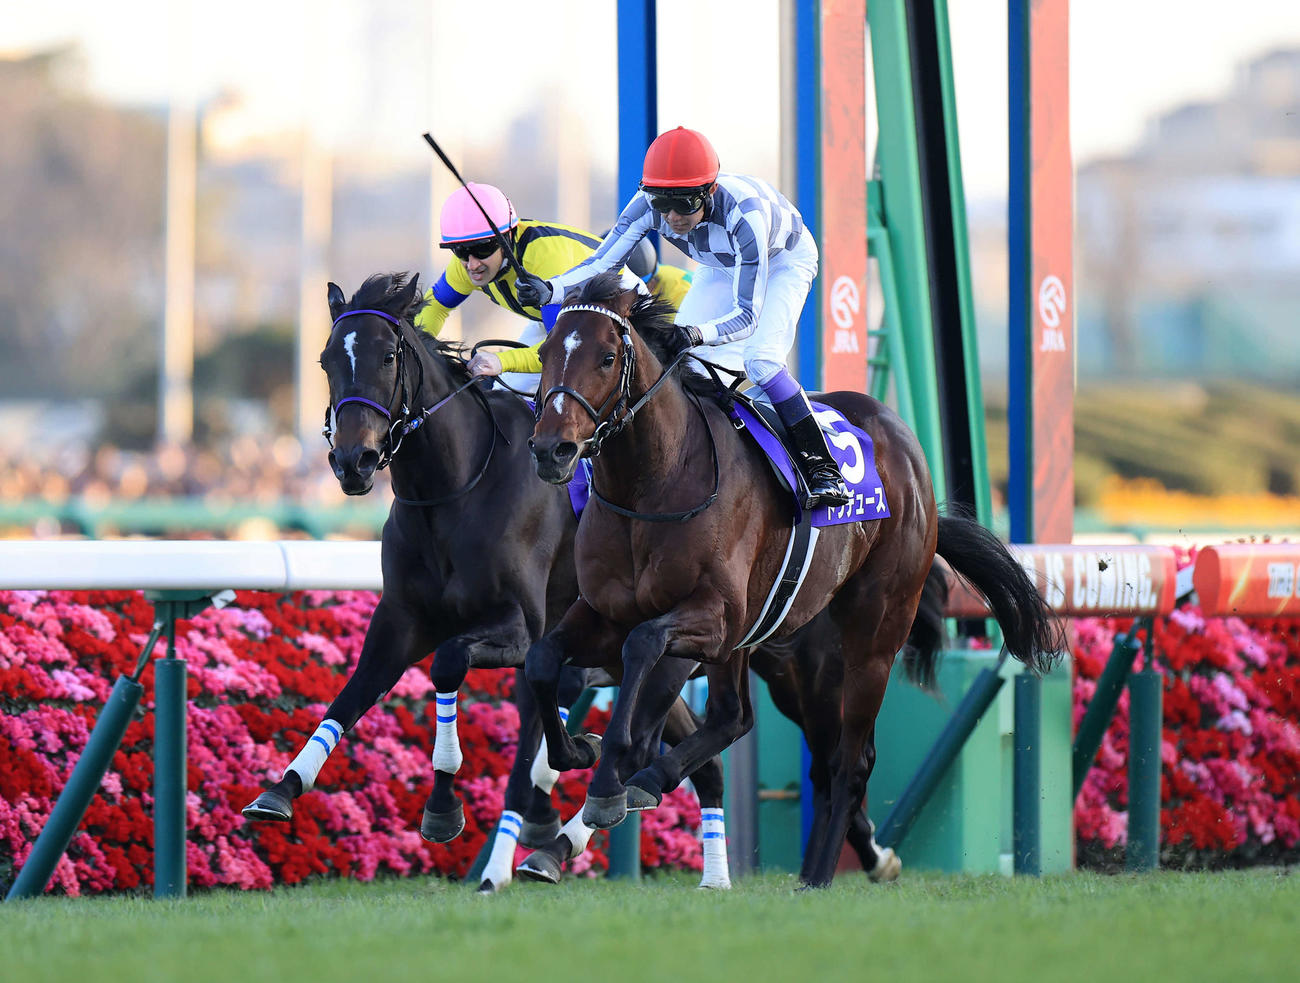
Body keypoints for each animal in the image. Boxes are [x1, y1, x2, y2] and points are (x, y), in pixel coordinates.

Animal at [523, 272, 1065, 888]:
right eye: (544, 352)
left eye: (609, 357)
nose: (552, 449)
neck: (654, 483)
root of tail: (907, 451)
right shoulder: (606, 613)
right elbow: (542, 659)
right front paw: (579, 754)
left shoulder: (712, 616)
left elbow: (643, 651)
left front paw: (607, 782)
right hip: (764, 645)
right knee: (736, 718)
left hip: (869, 638)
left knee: (850, 760)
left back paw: (819, 876)